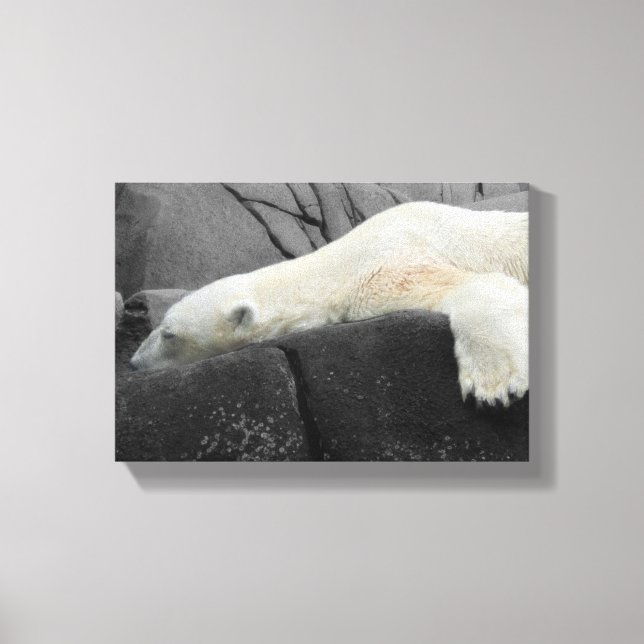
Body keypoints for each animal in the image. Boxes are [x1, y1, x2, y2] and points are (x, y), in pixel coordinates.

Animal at [129, 201, 529, 406]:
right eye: (160, 326)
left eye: (168, 334)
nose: (133, 363)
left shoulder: (386, 268)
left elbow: (479, 285)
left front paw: (494, 387)